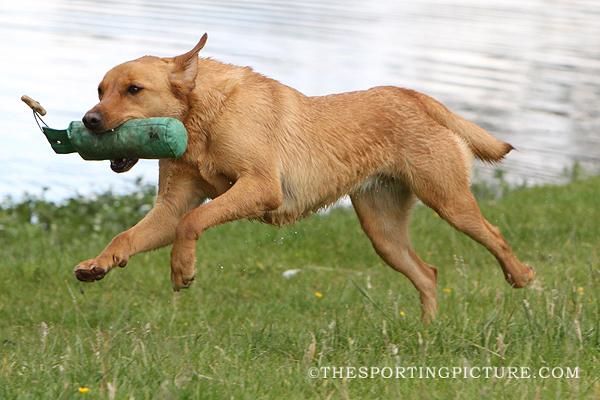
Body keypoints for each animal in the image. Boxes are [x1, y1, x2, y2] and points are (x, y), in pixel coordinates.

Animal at [74, 33, 535, 322]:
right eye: (99, 90)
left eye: (133, 90)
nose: (89, 121)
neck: (202, 119)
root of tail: (413, 96)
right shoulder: (170, 207)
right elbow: (128, 236)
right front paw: (98, 264)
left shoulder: (261, 187)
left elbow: (193, 222)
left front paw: (182, 268)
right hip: (383, 231)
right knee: (428, 274)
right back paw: (426, 334)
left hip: (449, 202)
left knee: (494, 236)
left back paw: (521, 276)